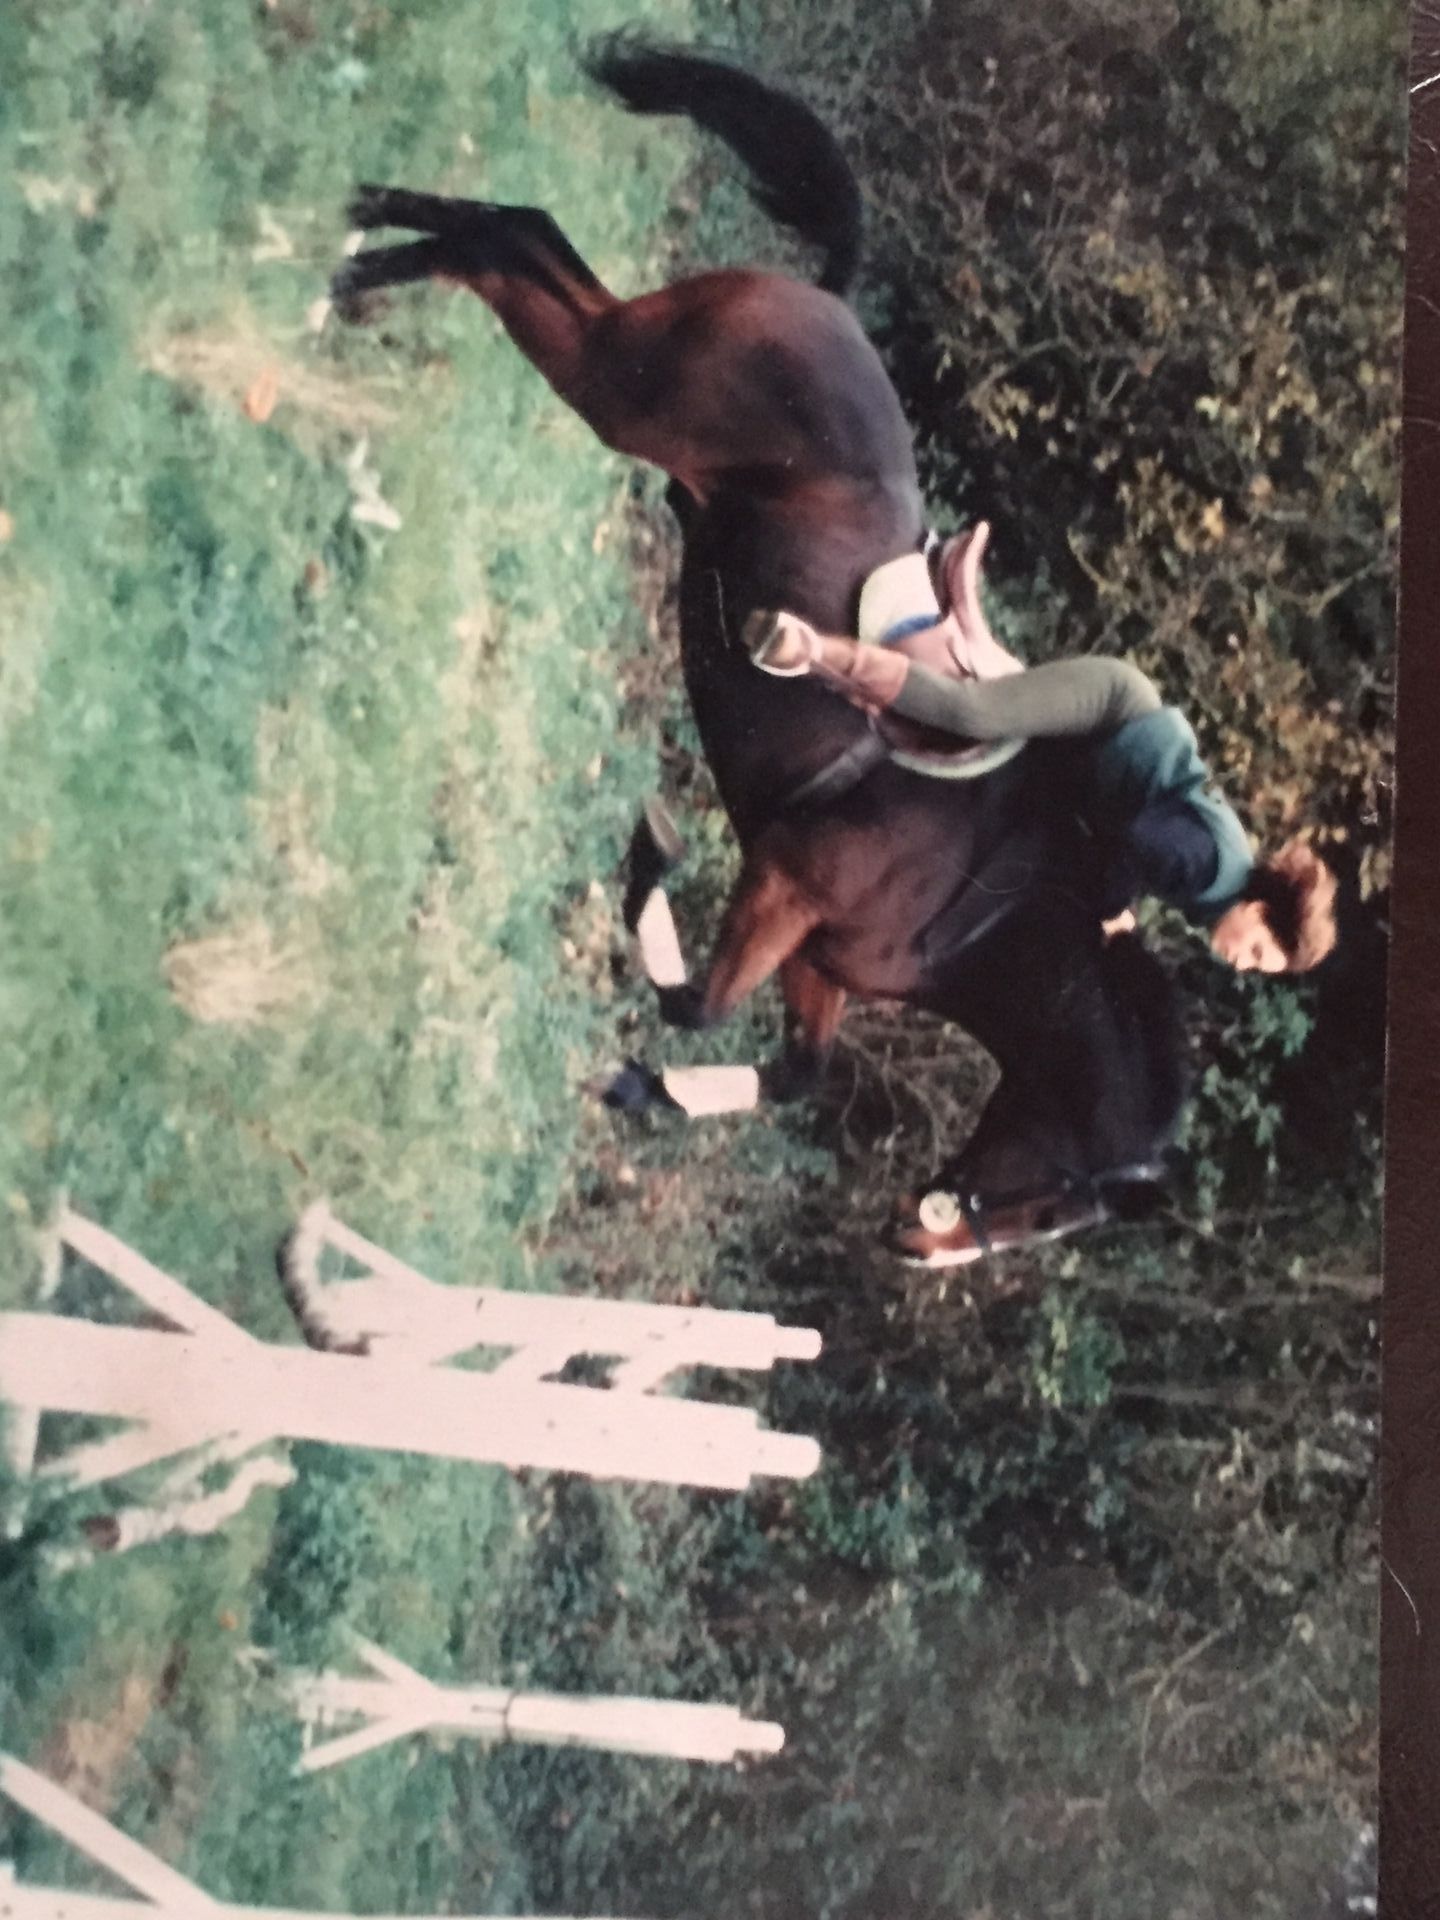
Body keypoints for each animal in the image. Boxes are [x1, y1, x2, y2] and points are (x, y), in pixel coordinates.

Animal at [333, 34, 1187, 1267]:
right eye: (1053, 1205)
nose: (919, 1250)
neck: (984, 909)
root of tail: (822, 298)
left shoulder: (817, 966)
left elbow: (790, 1070)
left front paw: (639, 1086)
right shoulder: (783, 884)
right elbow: (707, 1004)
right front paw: (652, 854)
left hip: (631, 372)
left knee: (531, 234)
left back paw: (366, 225)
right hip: (625, 390)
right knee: (515, 252)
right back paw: (356, 272)